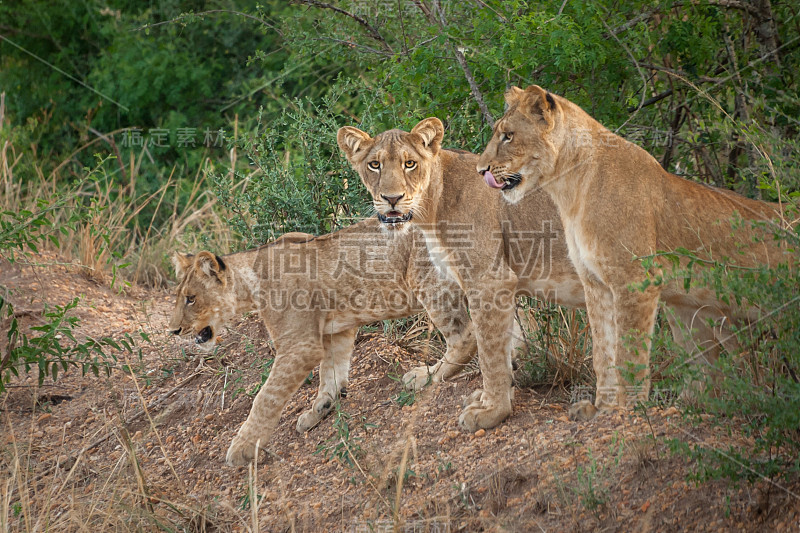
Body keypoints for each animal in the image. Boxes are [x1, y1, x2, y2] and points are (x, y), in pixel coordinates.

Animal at [168, 218, 484, 464]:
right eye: (180, 298)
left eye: (191, 299)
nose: (173, 330)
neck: (251, 282)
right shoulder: (335, 331)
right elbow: (331, 372)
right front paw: (320, 409)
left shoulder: (300, 346)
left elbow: (266, 398)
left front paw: (243, 447)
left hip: (427, 279)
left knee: (465, 337)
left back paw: (427, 376)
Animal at [472, 84, 792, 416]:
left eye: (508, 135)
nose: (480, 169)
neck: (570, 186)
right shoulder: (596, 284)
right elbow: (604, 352)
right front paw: (602, 409)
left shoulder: (635, 280)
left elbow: (629, 352)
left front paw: (627, 411)